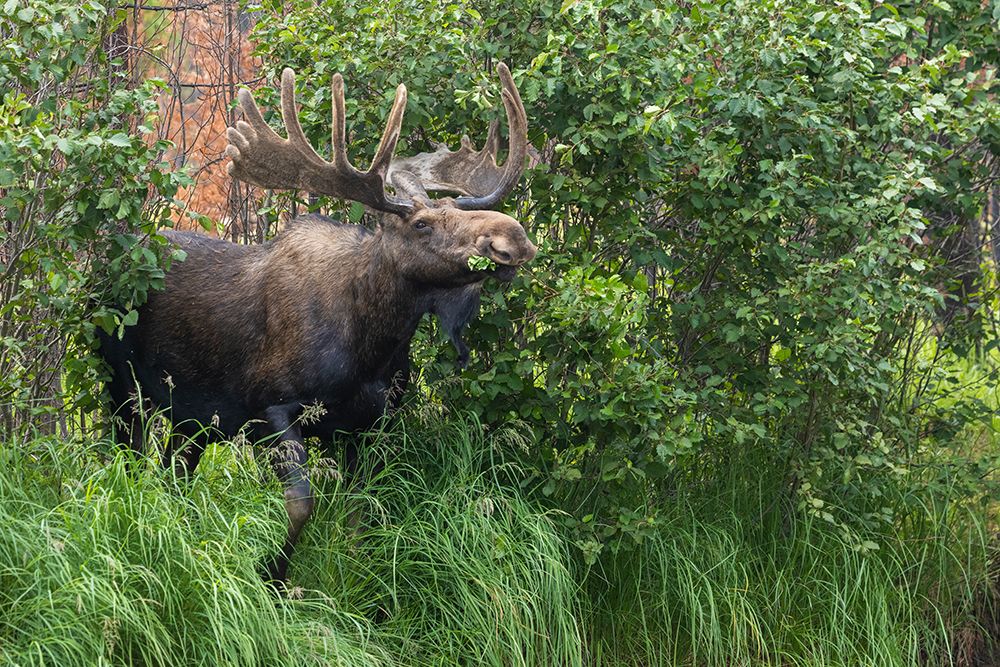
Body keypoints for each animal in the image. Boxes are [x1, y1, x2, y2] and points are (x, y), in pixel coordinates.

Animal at [99, 63, 536, 582]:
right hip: (123, 386)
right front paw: (273, 577)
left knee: (175, 470)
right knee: (129, 459)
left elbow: (361, 513)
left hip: (193, 416)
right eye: (421, 224)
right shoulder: (271, 407)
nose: (514, 238)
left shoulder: (367, 426)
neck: (371, 348)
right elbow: (300, 504)